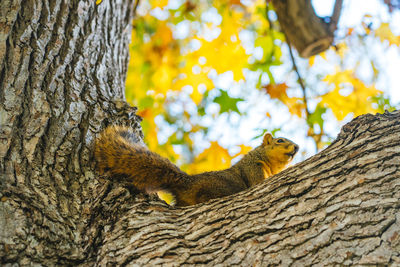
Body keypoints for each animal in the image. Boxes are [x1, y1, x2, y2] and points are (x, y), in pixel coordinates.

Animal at [95, 125, 298, 207]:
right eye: (280, 141)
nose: (297, 147)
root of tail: (188, 183)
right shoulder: (253, 168)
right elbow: (258, 183)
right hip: (218, 188)